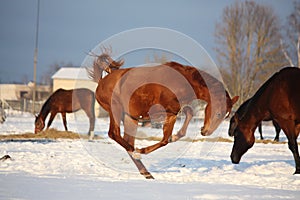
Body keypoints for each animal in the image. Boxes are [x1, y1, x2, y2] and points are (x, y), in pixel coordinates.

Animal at [88, 52, 238, 179]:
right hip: (116, 110)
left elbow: (170, 135)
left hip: (130, 118)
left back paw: (146, 172)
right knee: (114, 134)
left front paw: (175, 136)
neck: (183, 81)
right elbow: (166, 136)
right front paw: (141, 151)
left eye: (226, 116)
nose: (206, 132)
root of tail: (102, 81)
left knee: (127, 139)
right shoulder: (159, 112)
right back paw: (136, 153)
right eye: (218, 113)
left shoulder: (173, 112)